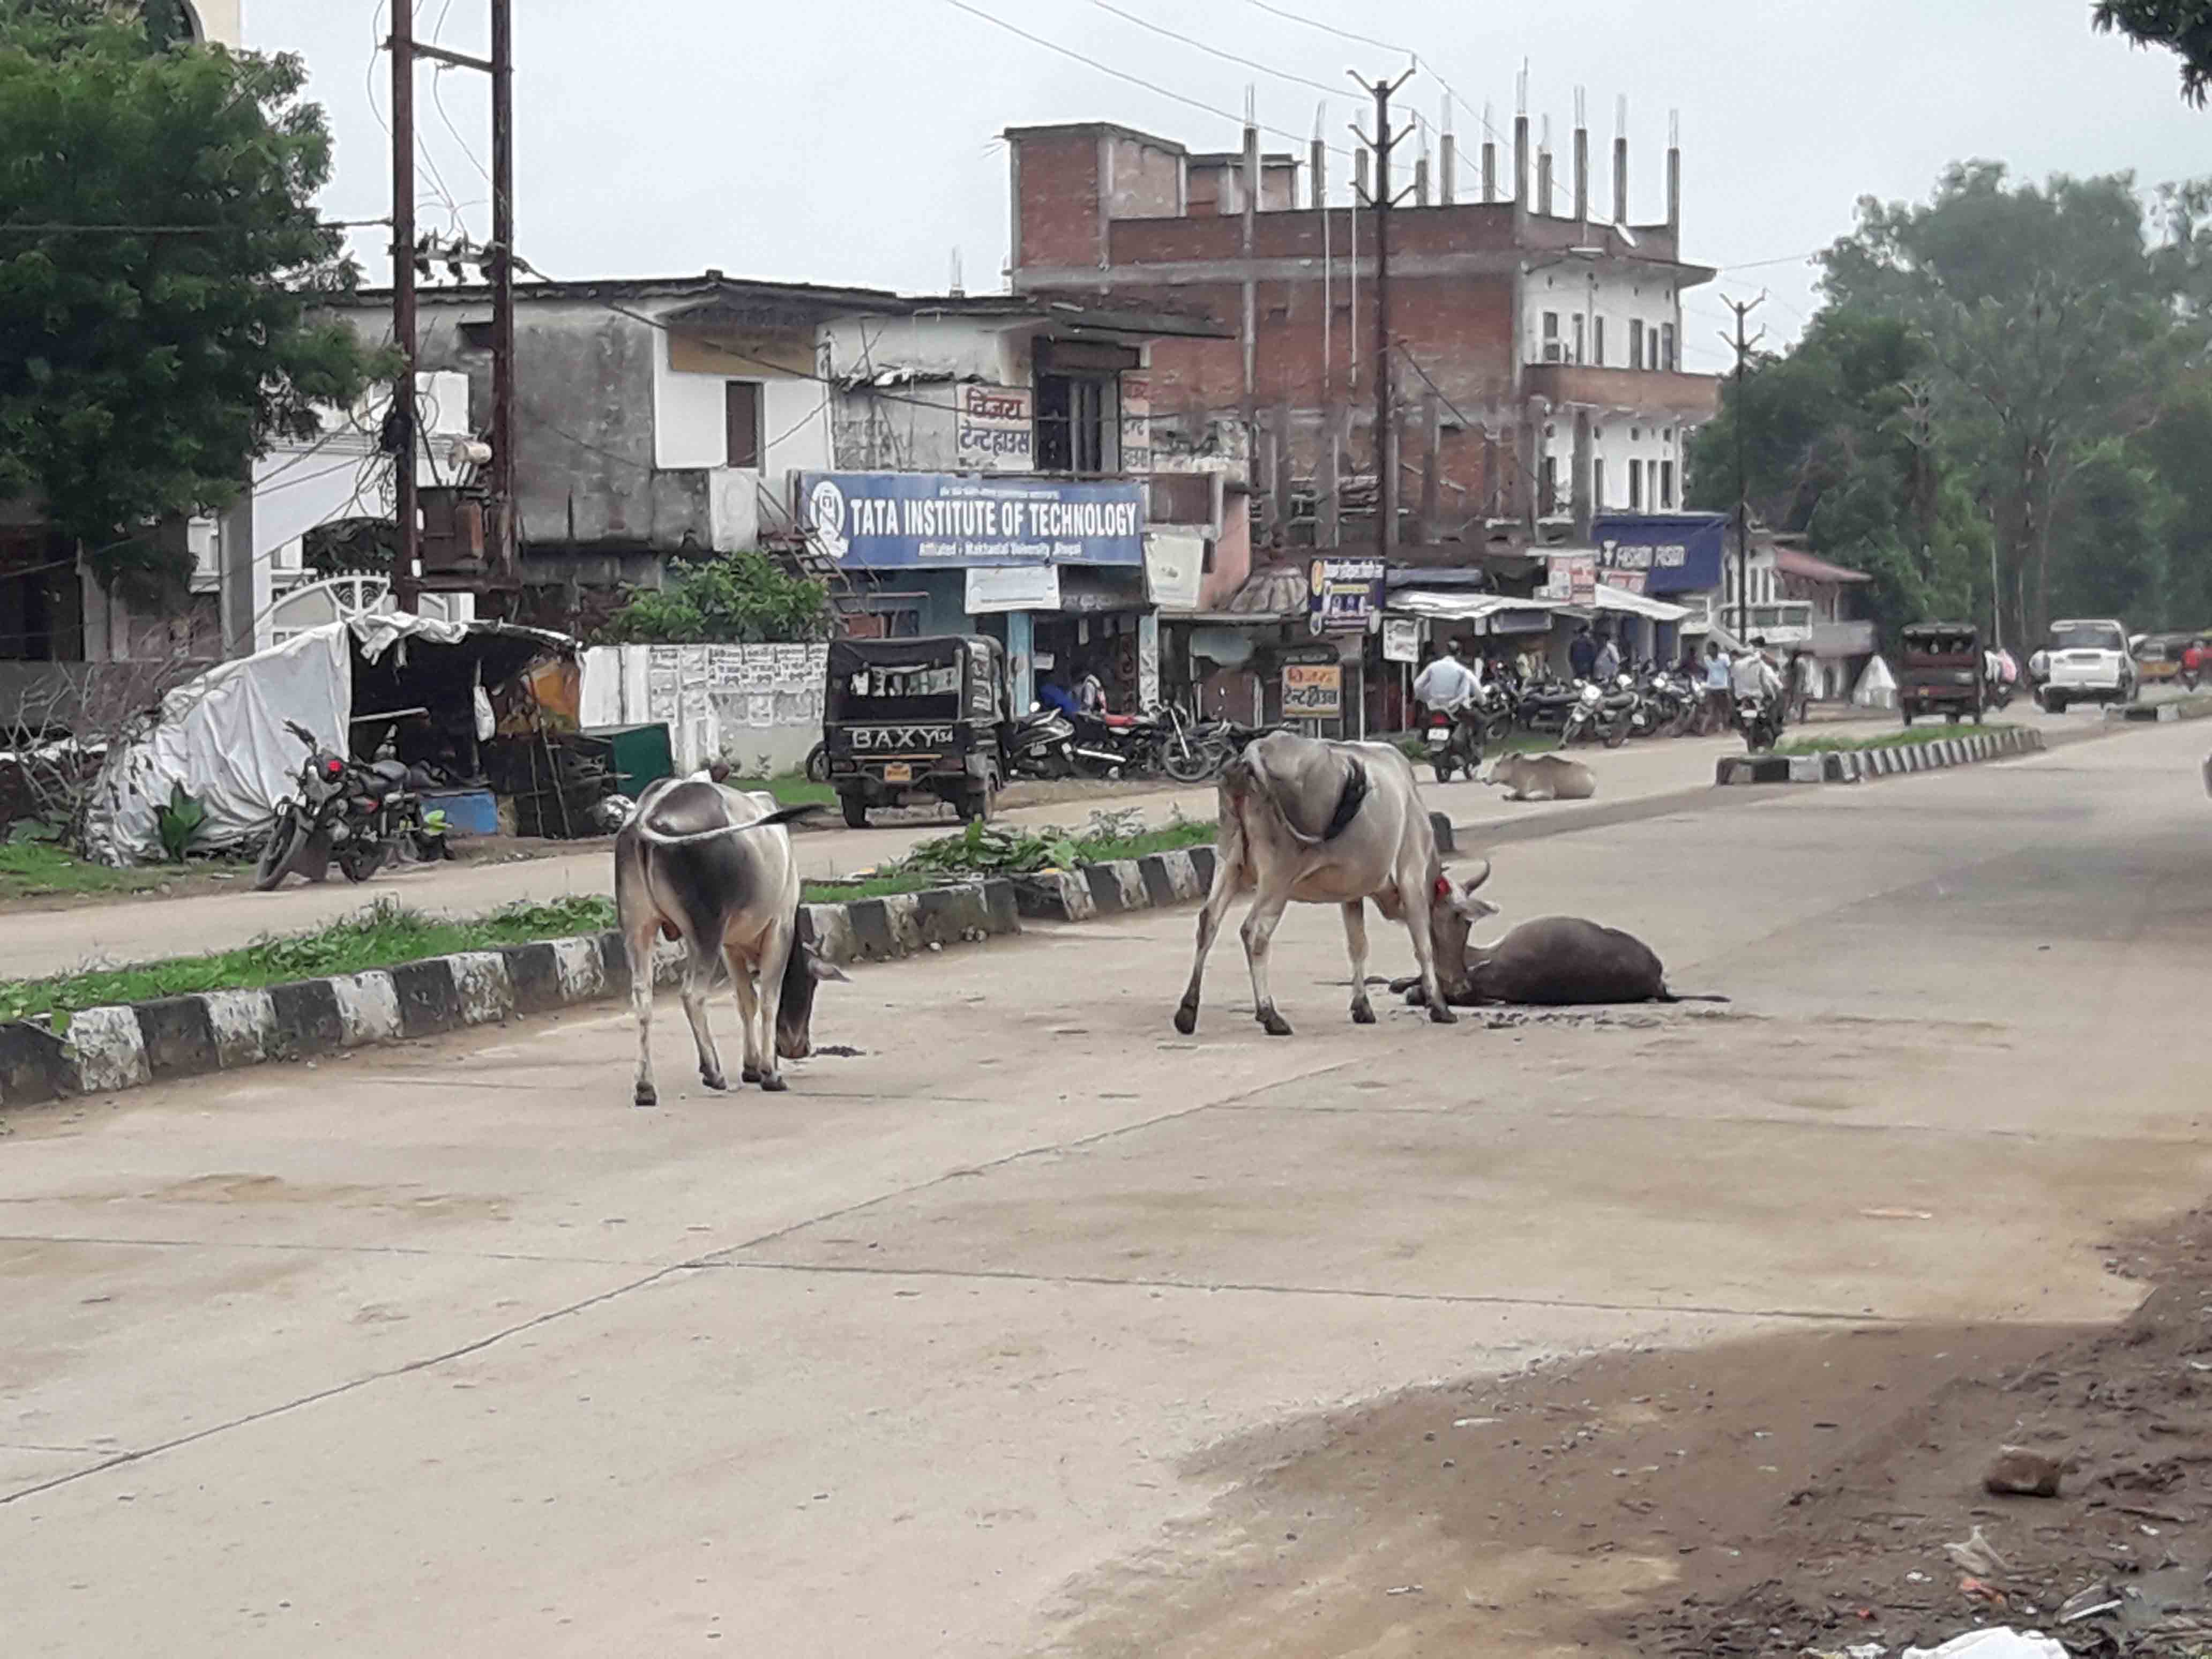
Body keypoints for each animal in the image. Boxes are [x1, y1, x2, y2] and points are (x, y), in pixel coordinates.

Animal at [619, 779, 849, 1106]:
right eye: (812, 984)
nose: (798, 1049)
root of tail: (647, 815)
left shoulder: (730, 947)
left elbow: (745, 1001)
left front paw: (751, 1067)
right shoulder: (779, 928)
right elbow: (768, 1000)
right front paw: (770, 1073)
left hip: (638, 929)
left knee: (643, 999)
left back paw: (645, 1087)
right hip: (705, 933)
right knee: (692, 995)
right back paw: (712, 1072)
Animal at [1177, 730, 1486, 1040]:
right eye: (1462, 922)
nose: (1463, 986)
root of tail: (1257, 749)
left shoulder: (1351, 890)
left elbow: (1358, 945)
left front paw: (1362, 1007)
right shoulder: (1412, 875)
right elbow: (1422, 943)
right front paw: (1440, 1006)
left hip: (1229, 861)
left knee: (1209, 921)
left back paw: (1188, 1011)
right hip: (1278, 875)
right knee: (1255, 932)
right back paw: (1270, 1014)